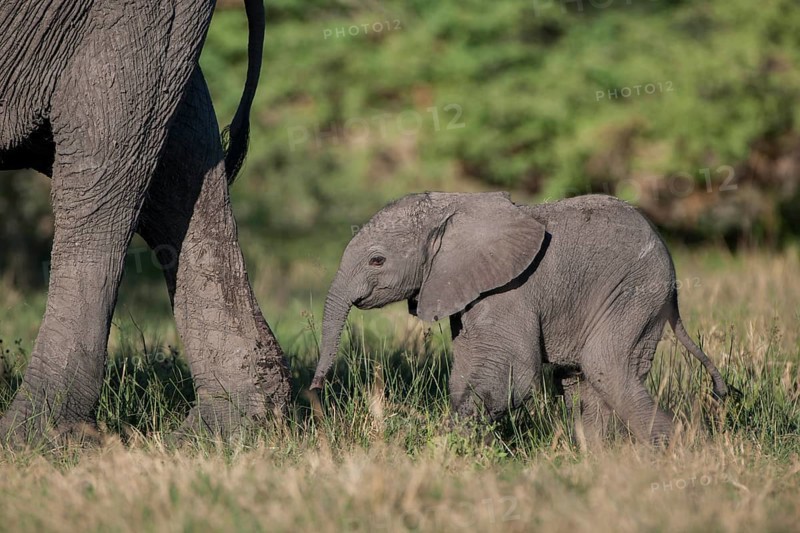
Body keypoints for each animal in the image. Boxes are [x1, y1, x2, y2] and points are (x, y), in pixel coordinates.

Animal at [310, 192, 729, 447]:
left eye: (376, 260)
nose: (316, 392)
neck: (454, 205)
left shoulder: (510, 290)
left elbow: (509, 372)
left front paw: (445, 446)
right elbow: (466, 372)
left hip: (635, 292)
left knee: (607, 367)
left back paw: (682, 455)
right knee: (581, 382)